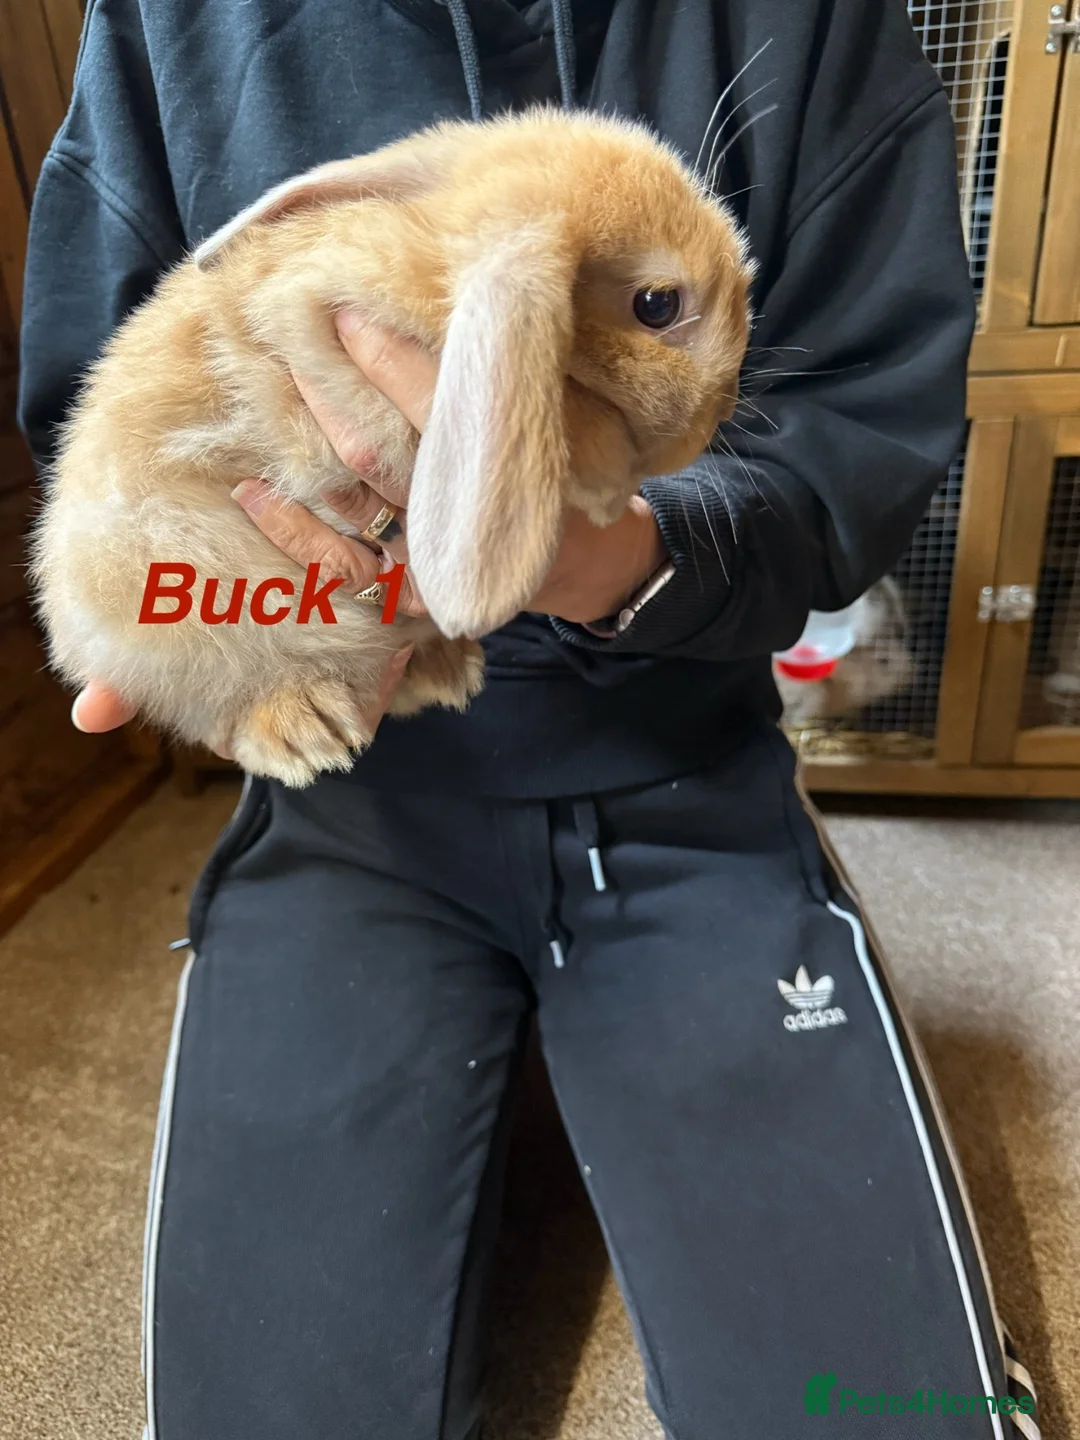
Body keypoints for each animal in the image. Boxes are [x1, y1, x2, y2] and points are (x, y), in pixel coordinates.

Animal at [32, 108, 753, 786]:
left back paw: (445, 669)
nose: (714, 419)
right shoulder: (331, 332)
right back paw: (304, 728)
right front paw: (605, 486)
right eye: (657, 304)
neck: (437, 255)